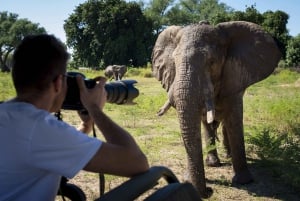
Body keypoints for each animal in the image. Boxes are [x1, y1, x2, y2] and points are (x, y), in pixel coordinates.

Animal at [151, 20, 282, 198]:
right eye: (174, 62)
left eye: (212, 62)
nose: (209, 191)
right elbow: (203, 121)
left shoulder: (234, 80)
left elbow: (234, 120)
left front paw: (244, 181)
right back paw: (213, 163)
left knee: (227, 123)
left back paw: (228, 155)